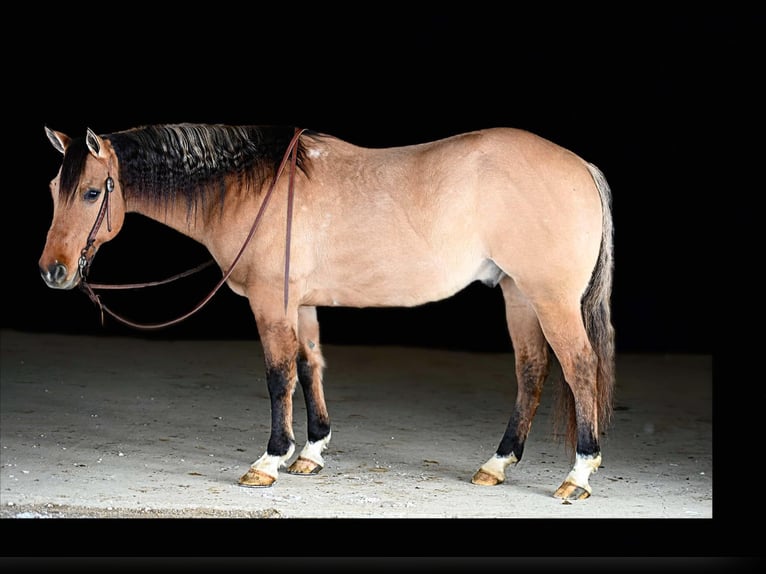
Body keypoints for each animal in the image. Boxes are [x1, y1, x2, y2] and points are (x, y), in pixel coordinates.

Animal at [40, 124, 616, 502]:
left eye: (90, 192)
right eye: (52, 189)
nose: (53, 272)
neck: (253, 187)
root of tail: (581, 166)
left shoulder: (271, 302)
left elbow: (278, 376)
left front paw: (270, 460)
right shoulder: (301, 304)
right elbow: (309, 365)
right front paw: (311, 453)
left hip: (549, 298)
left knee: (579, 368)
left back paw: (578, 475)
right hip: (518, 294)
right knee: (531, 371)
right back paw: (497, 465)